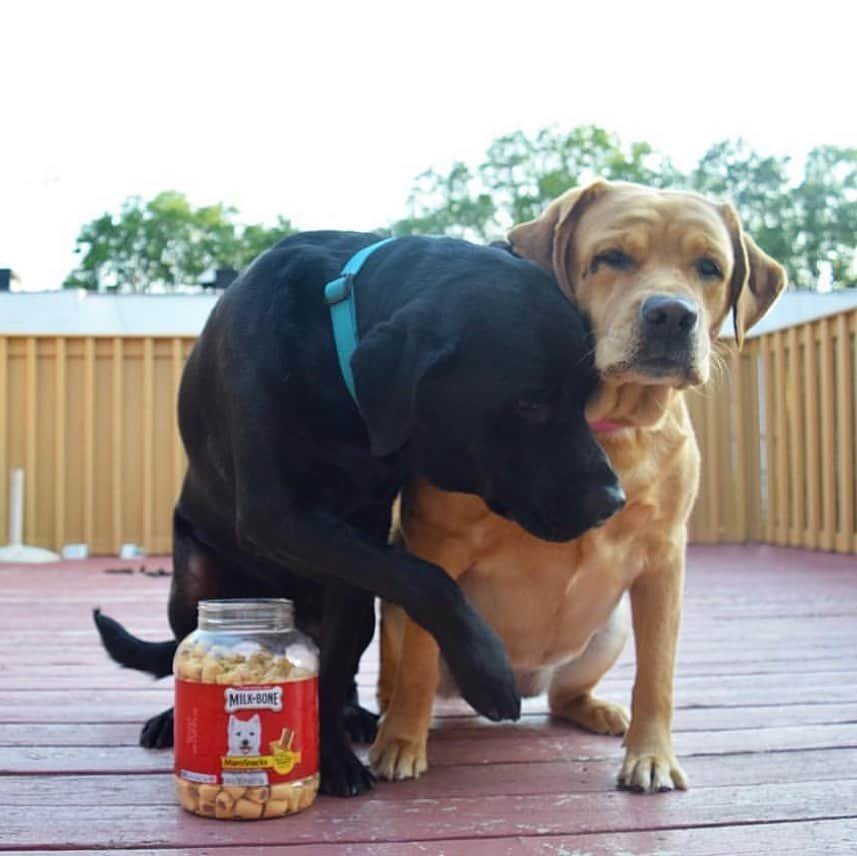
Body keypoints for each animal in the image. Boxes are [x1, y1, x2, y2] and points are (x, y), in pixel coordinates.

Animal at [95, 232, 620, 796]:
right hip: (193, 581)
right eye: (530, 403)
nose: (613, 499)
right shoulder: (277, 514)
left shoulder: (356, 542)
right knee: (184, 643)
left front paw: (331, 755)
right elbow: (428, 577)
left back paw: (353, 716)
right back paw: (171, 719)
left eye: (585, 395)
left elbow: (338, 658)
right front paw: (488, 671)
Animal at [372, 182, 784, 796]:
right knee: (400, 669)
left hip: (608, 632)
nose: (671, 313)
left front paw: (651, 755)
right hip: (395, 614)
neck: (603, 423)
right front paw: (401, 742)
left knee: (566, 696)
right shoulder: (436, 547)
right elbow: (421, 656)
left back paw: (597, 710)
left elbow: (657, 673)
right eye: (611, 257)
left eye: (709, 268)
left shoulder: (664, 560)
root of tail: (524, 678)